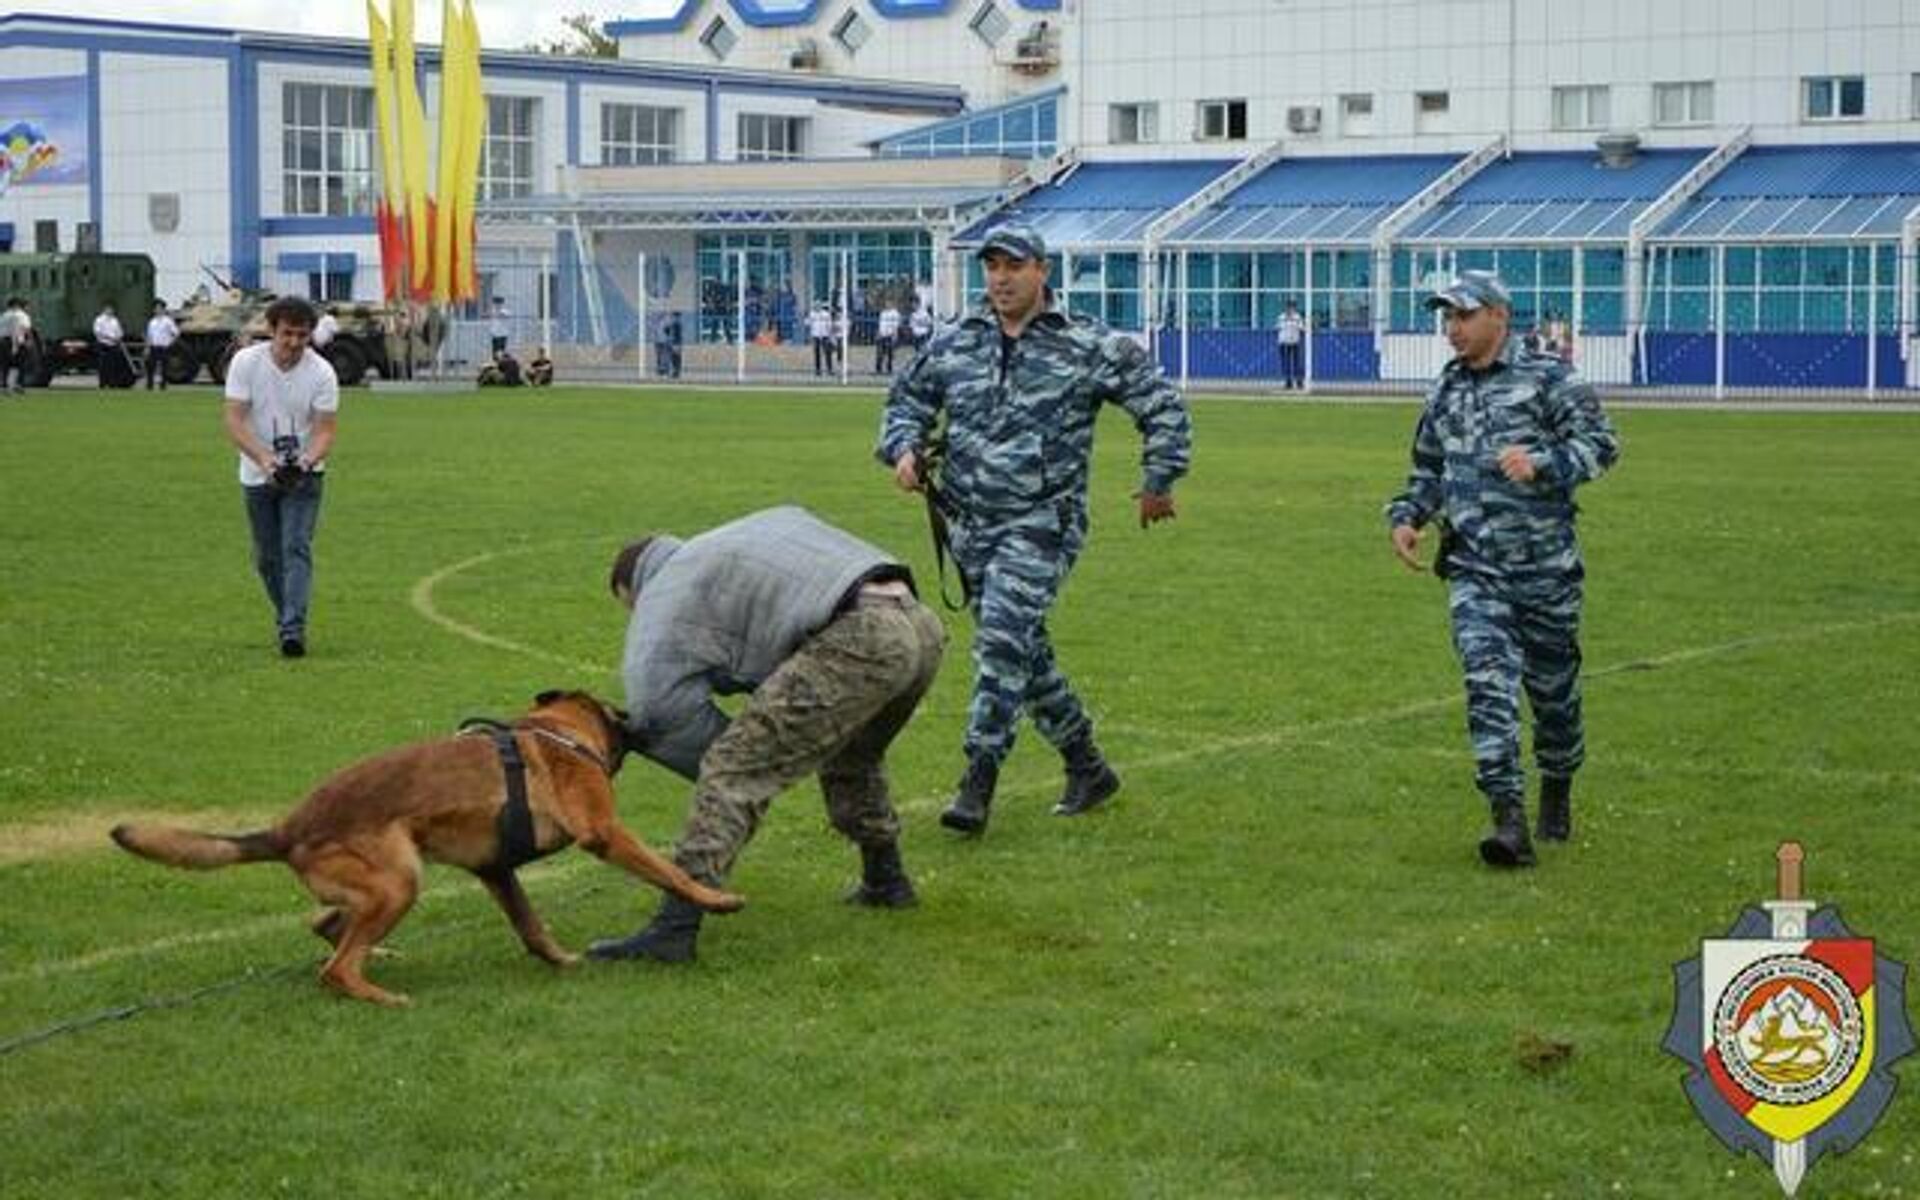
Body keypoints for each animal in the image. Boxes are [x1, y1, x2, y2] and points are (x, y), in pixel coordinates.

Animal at [114, 687, 741, 1006]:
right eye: (618, 717)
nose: (643, 720)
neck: (554, 732)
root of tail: (286, 829)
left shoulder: (497, 872)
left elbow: (532, 927)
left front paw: (562, 960)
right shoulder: (605, 833)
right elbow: (668, 870)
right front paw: (715, 899)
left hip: (380, 886)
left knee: (326, 925)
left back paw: (378, 954)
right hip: (400, 880)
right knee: (335, 966)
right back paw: (378, 990)